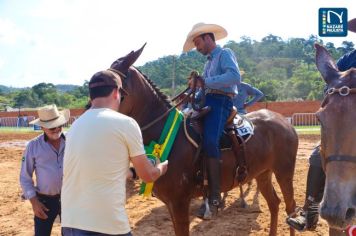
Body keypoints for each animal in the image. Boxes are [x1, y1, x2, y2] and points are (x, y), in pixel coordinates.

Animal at [111, 45, 298, 235]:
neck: (167, 136)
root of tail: (284, 122)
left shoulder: (179, 202)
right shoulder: (171, 203)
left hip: (284, 171)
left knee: (290, 207)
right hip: (263, 173)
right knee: (274, 203)